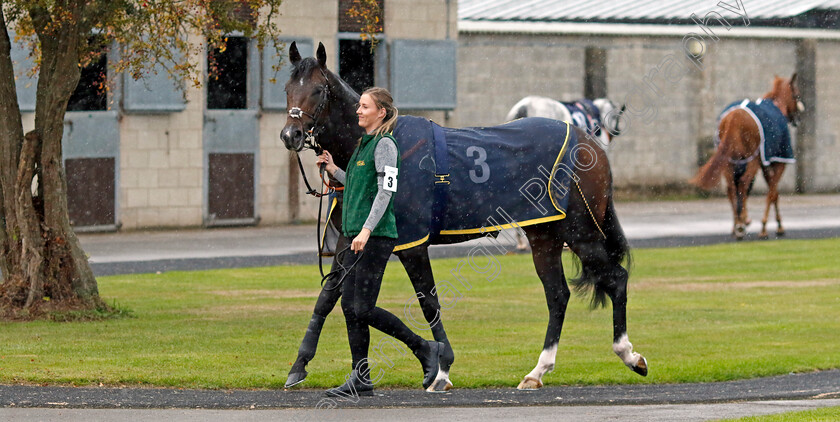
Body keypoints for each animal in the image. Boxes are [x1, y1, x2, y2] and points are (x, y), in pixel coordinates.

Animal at [278, 41, 648, 390]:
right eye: (287, 88)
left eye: (318, 90)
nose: (290, 135)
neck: (377, 138)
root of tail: (591, 142)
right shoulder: (350, 240)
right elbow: (329, 297)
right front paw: (299, 364)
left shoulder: (411, 244)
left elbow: (428, 302)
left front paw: (440, 368)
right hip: (545, 234)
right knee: (557, 295)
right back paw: (537, 371)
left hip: (579, 230)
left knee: (615, 278)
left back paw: (629, 354)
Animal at [692, 74, 804, 239]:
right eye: (796, 94)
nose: (798, 118)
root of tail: (734, 116)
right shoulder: (778, 162)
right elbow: (772, 193)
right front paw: (766, 227)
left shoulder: (764, 164)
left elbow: (772, 193)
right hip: (752, 159)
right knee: (744, 183)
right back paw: (742, 225)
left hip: (729, 161)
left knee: (732, 187)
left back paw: (737, 225)